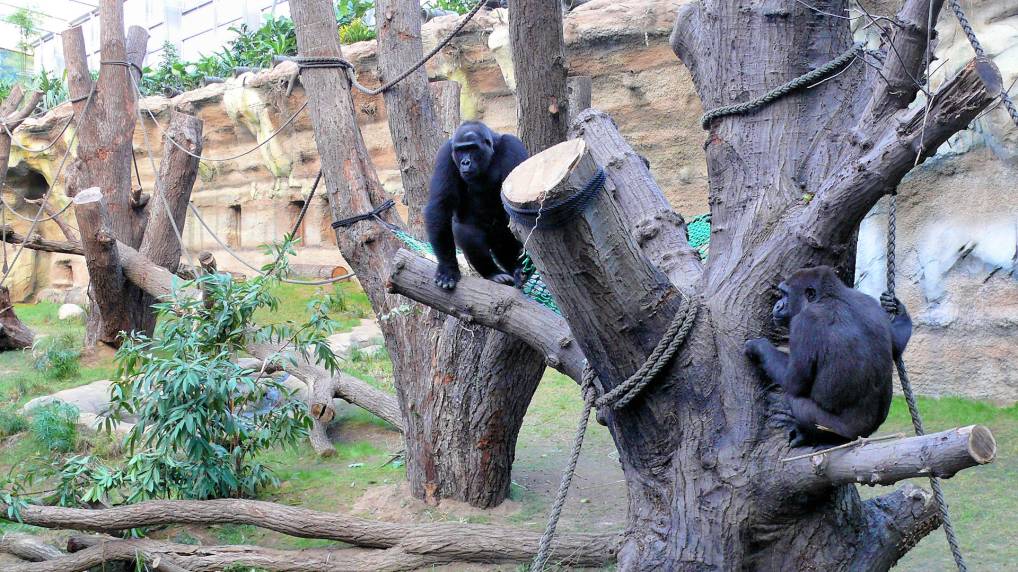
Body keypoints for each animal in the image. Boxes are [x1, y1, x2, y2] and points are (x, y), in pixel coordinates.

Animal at [425, 120, 529, 289]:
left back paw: (518, 269)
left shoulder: (512, 145)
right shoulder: (446, 153)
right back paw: (493, 273)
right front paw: (447, 268)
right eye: (460, 150)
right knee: (468, 233)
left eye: (472, 148)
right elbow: (440, 205)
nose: (465, 162)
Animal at [741, 264, 916, 447]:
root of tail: (861, 434)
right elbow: (896, 343)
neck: (830, 296)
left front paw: (758, 348)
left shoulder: (804, 321)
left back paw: (808, 436)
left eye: (785, 294)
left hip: (839, 430)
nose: (777, 305)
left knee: (796, 400)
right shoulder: (869, 302)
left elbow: (793, 382)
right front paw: (897, 308)